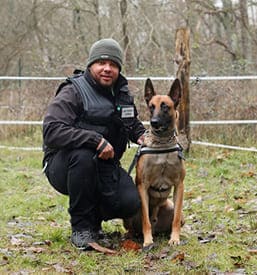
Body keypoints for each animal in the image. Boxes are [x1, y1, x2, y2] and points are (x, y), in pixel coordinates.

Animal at [124, 78, 184, 250]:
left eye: (165, 106)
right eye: (151, 106)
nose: (154, 122)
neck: (162, 145)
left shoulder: (179, 185)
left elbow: (176, 218)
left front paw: (175, 238)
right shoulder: (142, 186)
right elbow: (146, 219)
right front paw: (148, 241)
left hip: (170, 206)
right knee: (134, 227)